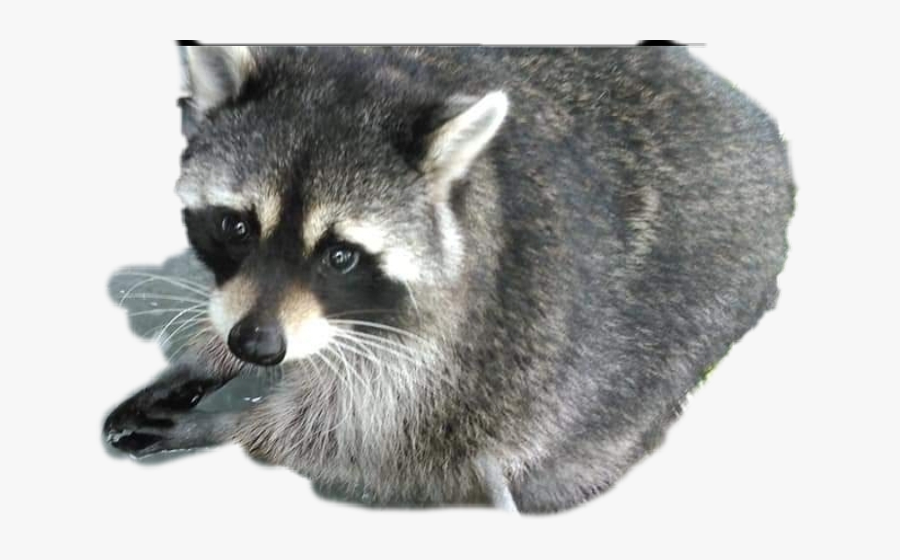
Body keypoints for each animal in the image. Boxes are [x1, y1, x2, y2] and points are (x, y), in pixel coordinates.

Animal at [104, 45, 794, 513]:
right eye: (237, 226)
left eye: (341, 256)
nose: (256, 345)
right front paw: (206, 356)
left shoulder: (485, 349)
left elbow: (374, 443)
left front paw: (231, 423)